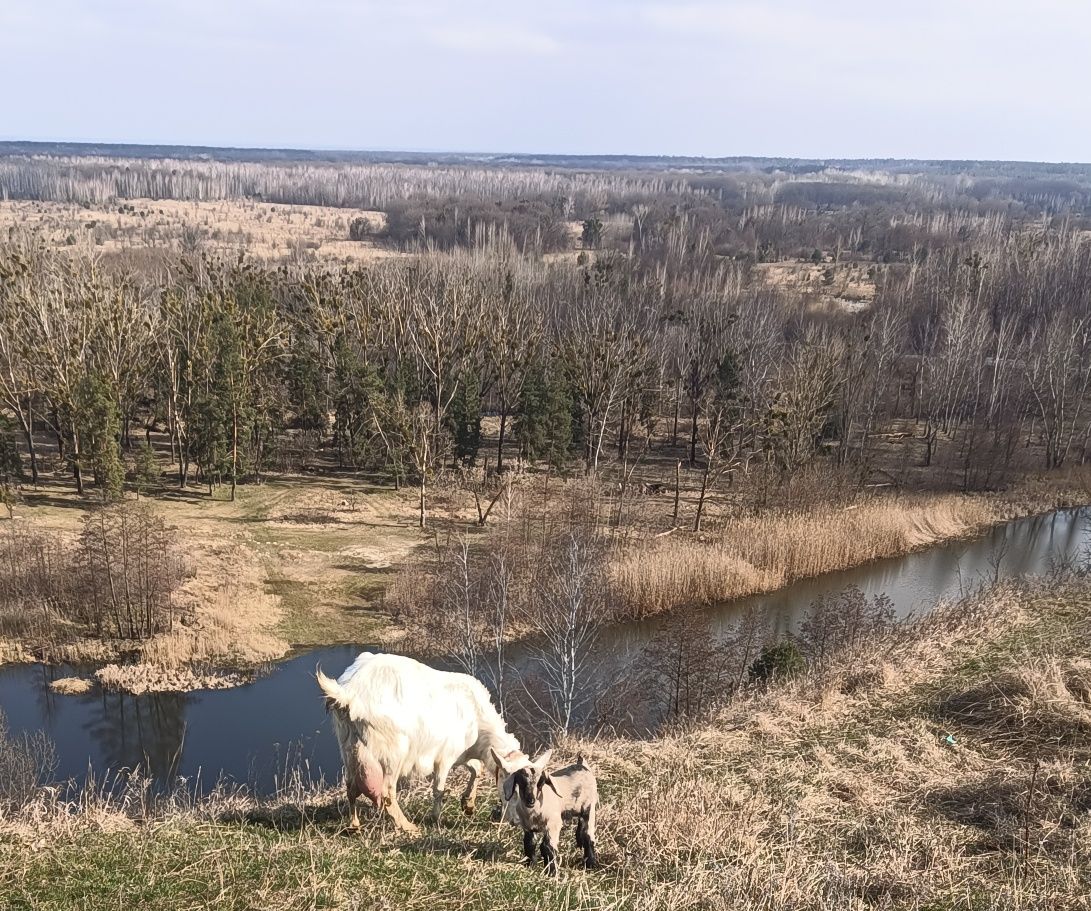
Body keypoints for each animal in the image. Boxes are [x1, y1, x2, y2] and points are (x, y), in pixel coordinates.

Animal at [316, 654, 519, 833]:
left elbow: (477, 768)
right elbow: (439, 789)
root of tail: (349, 693)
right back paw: (408, 827)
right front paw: (436, 818)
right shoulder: (445, 756)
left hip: (349, 747)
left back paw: (354, 825)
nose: (515, 822)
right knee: (386, 792)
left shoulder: (461, 754)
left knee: (350, 787)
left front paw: (468, 804)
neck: (478, 721)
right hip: (393, 752)